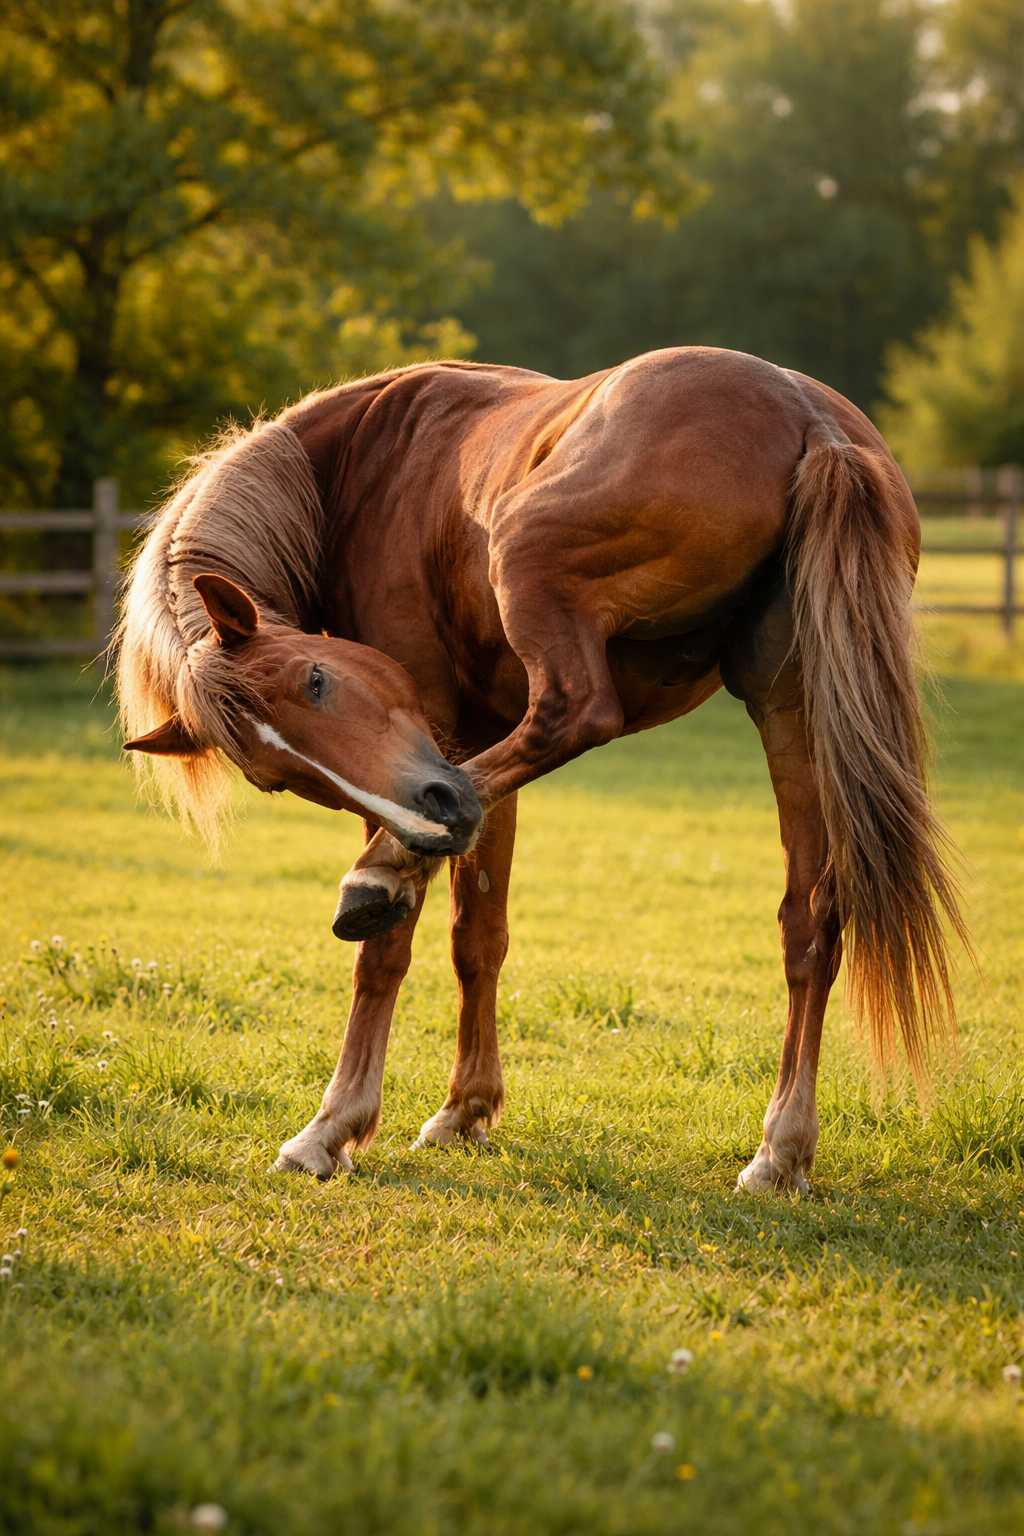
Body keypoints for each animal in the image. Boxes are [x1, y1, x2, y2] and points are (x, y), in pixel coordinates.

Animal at [116, 346, 967, 1194]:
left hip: (528, 560)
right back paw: (781, 1149)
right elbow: (477, 934)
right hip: (788, 706)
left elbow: (388, 950)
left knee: (576, 714)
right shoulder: (470, 752)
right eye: (280, 778)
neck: (355, 467)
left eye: (316, 680)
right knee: (810, 920)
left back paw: (378, 877)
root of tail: (807, 417)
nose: (437, 812)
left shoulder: (443, 741)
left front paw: (333, 1126)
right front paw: (465, 1110)